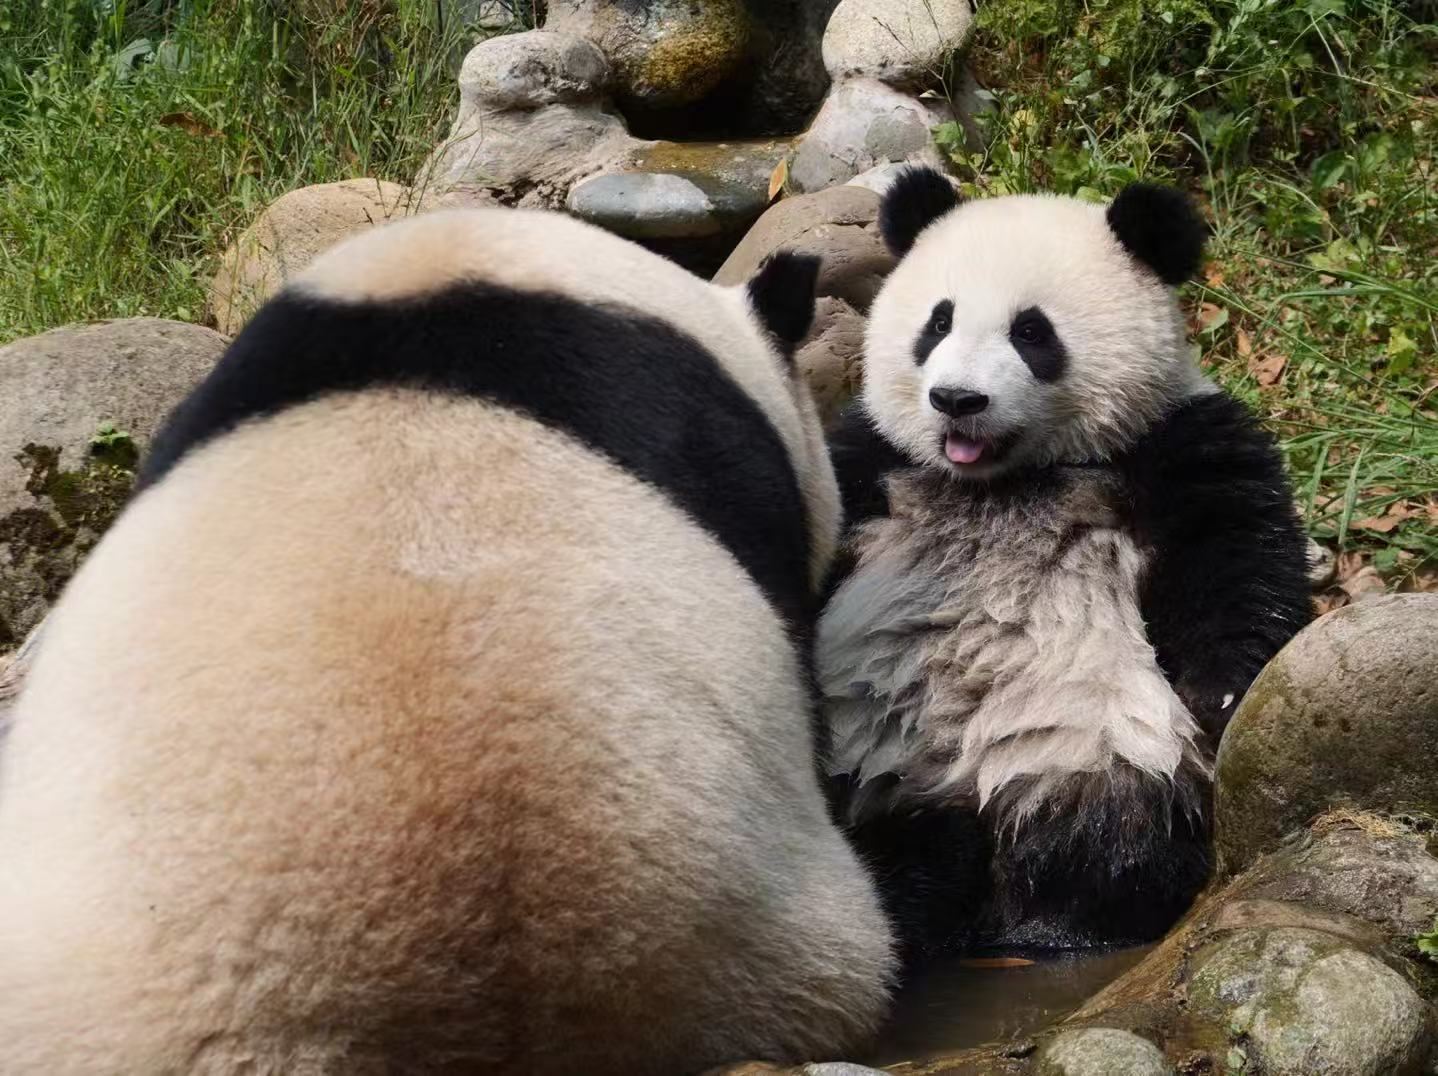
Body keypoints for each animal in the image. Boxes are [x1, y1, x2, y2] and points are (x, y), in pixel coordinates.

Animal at [818, 166, 1313, 959]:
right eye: (938, 323)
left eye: (1031, 332)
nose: (956, 399)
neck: (1000, 480)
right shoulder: (873, 460)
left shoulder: (1171, 441)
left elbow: (1233, 555)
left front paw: (1221, 698)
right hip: (863, 765)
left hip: (1086, 741)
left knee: (1106, 842)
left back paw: (1050, 921)